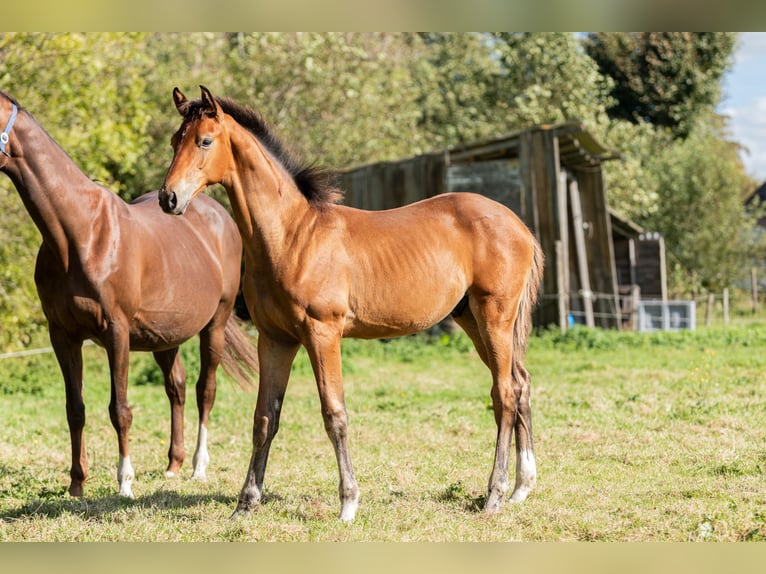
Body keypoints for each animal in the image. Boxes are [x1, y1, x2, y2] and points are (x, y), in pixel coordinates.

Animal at [0, 90, 258, 500]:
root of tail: (215, 212)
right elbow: (75, 408)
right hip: (164, 335)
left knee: (205, 389)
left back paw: (198, 468)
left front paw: (124, 484)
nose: (171, 198)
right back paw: (173, 465)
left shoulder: (116, 332)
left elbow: (119, 409)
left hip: (214, 324)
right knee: (176, 386)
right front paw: (77, 484)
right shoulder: (62, 335)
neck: (81, 234)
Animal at [159, 86, 544, 528]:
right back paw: (521, 488)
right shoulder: (275, 339)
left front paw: (348, 503)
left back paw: (495, 494)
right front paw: (246, 502)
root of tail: (518, 225)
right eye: (175, 141)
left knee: (504, 393)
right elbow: (264, 418)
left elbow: (334, 414)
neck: (292, 236)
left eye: (204, 141)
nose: (168, 198)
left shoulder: (323, 332)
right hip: (472, 320)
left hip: (494, 316)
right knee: (520, 382)